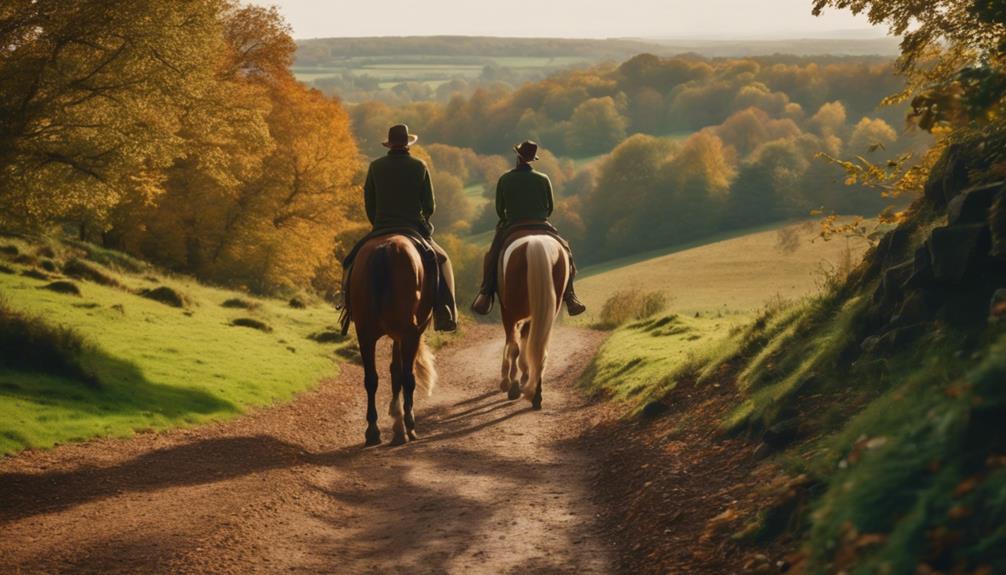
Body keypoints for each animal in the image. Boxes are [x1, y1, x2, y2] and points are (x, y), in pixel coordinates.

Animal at [350, 232, 436, 444]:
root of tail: (385, 247)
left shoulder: (396, 336)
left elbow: (393, 370)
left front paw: (396, 418)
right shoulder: (408, 334)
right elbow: (401, 373)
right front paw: (400, 422)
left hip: (365, 335)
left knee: (371, 379)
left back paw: (373, 431)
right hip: (409, 334)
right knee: (408, 377)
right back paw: (410, 425)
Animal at [498, 233, 571, 408]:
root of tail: (537, 244)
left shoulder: (508, 312)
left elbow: (513, 343)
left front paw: (508, 380)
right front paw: (524, 375)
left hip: (512, 312)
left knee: (514, 344)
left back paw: (514, 386)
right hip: (547, 310)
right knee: (540, 347)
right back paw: (535, 393)